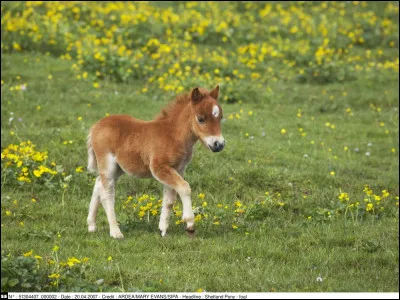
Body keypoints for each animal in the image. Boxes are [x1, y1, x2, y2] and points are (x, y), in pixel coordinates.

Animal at [86, 85, 225, 238]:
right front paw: (189, 224)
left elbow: (169, 199)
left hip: (118, 168)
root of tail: (96, 126)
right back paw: (116, 232)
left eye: (220, 118)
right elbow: (184, 188)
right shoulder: (159, 168)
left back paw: (91, 225)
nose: (219, 144)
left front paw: (163, 229)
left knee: (98, 184)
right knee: (107, 194)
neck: (173, 135)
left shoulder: (178, 169)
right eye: (201, 119)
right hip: (107, 164)